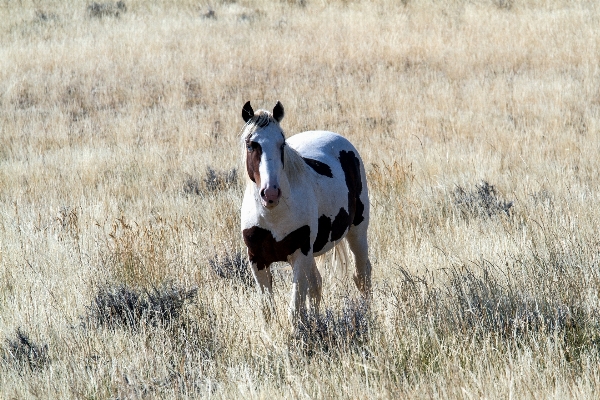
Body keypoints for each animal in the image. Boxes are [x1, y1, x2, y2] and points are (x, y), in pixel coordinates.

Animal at [239, 101, 370, 320]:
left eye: (282, 144)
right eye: (251, 145)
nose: (271, 193)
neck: (273, 217)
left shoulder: (299, 255)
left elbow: (295, 310)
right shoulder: (257, 260)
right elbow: (268, 311)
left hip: (357, 231)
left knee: (362, 276)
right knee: (317, 285)